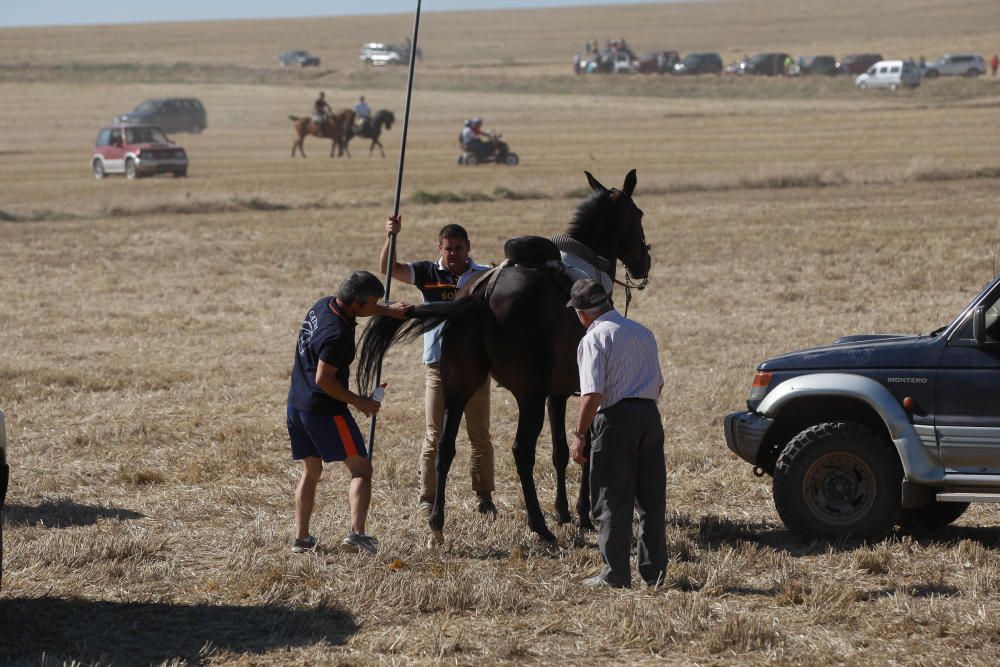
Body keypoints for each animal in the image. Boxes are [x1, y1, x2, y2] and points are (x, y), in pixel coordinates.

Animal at [356, 170, 652, 544]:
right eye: (638, 213)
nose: (644, 261)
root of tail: (483, 293)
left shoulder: (556, 394)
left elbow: (560, 451)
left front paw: (564, 512)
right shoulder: (585, 389)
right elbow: (582, 448)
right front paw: (582, 516)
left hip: (460, 386)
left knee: (445, 447)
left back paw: (437, 523)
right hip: (527, 397)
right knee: (521, 452)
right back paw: (540, 528)